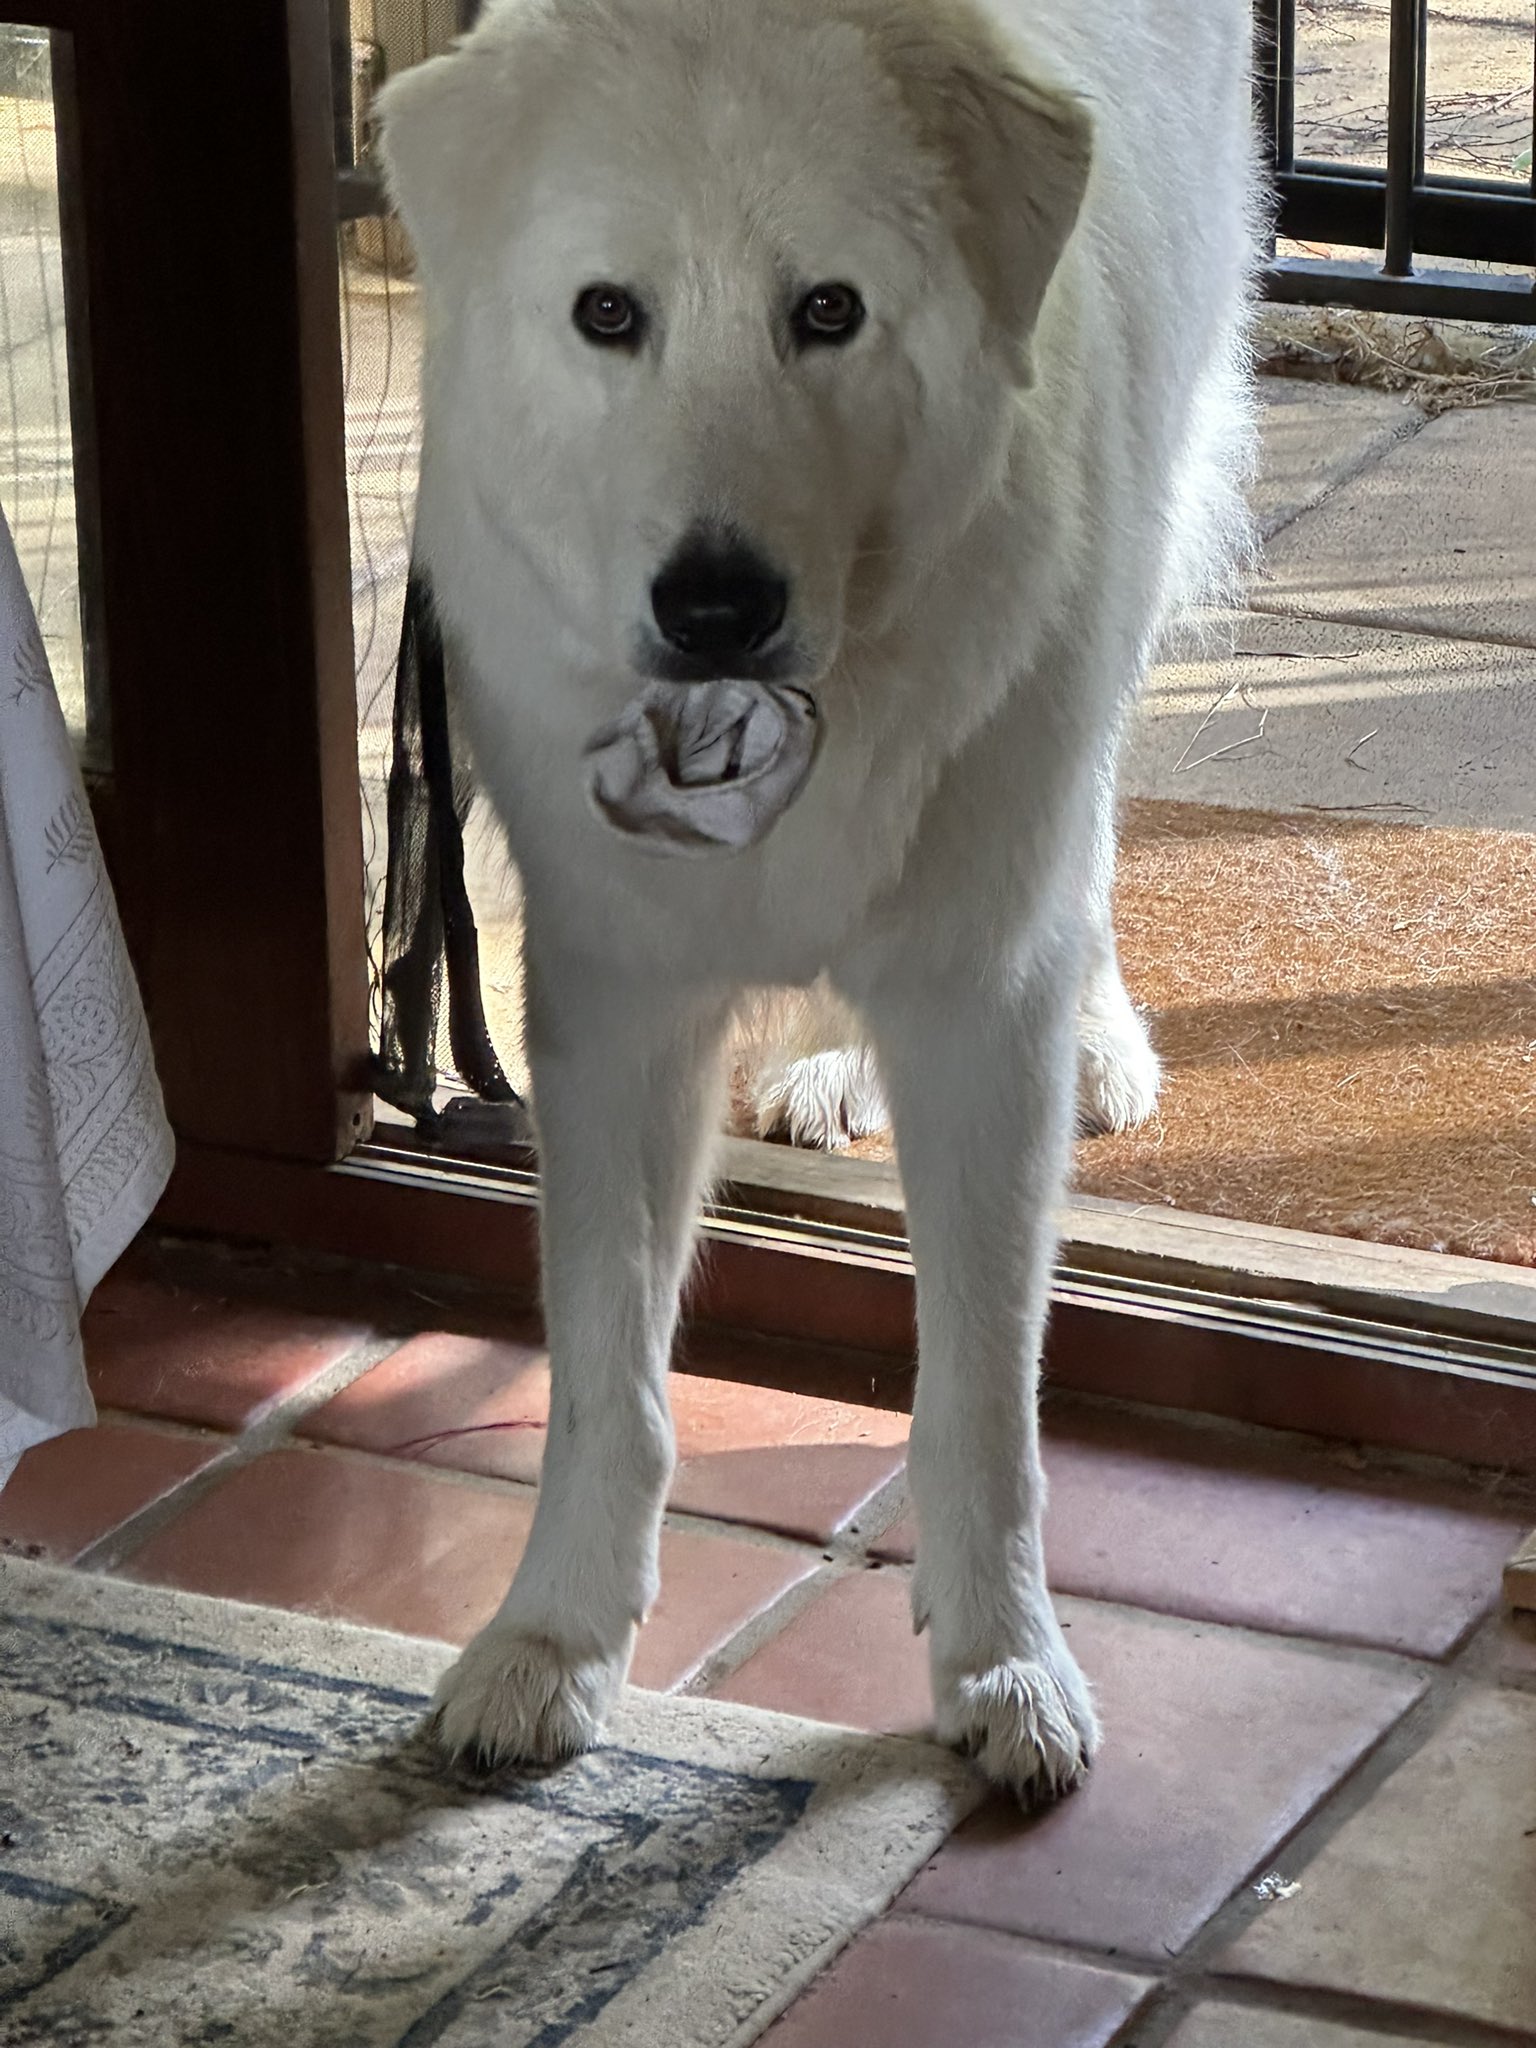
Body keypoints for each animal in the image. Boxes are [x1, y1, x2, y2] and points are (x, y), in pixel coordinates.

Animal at [378, 0, 1253, 1802]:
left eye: (828, 312)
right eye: (609, 314)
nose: (716, 605)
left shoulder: (979, 1007)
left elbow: (980, 1394)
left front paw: (1001, 1666)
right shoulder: (610, 1007)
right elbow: (608, 1382)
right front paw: (551, 1644)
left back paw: (1097, 1036)